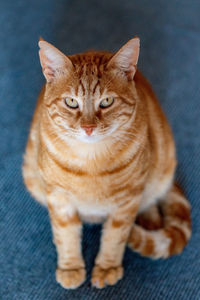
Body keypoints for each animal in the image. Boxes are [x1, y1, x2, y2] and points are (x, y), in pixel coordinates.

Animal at [22, 36, 191, 290]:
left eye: (107, 101)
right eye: (71, 102)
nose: (88, 127)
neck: (91, 163)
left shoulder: (127, 201)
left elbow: (114, 237)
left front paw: (107, 267)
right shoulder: (58, 197)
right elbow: (66, 234)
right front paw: (70, 268)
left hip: (161, 166)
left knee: (151, 198)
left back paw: (149, 220)